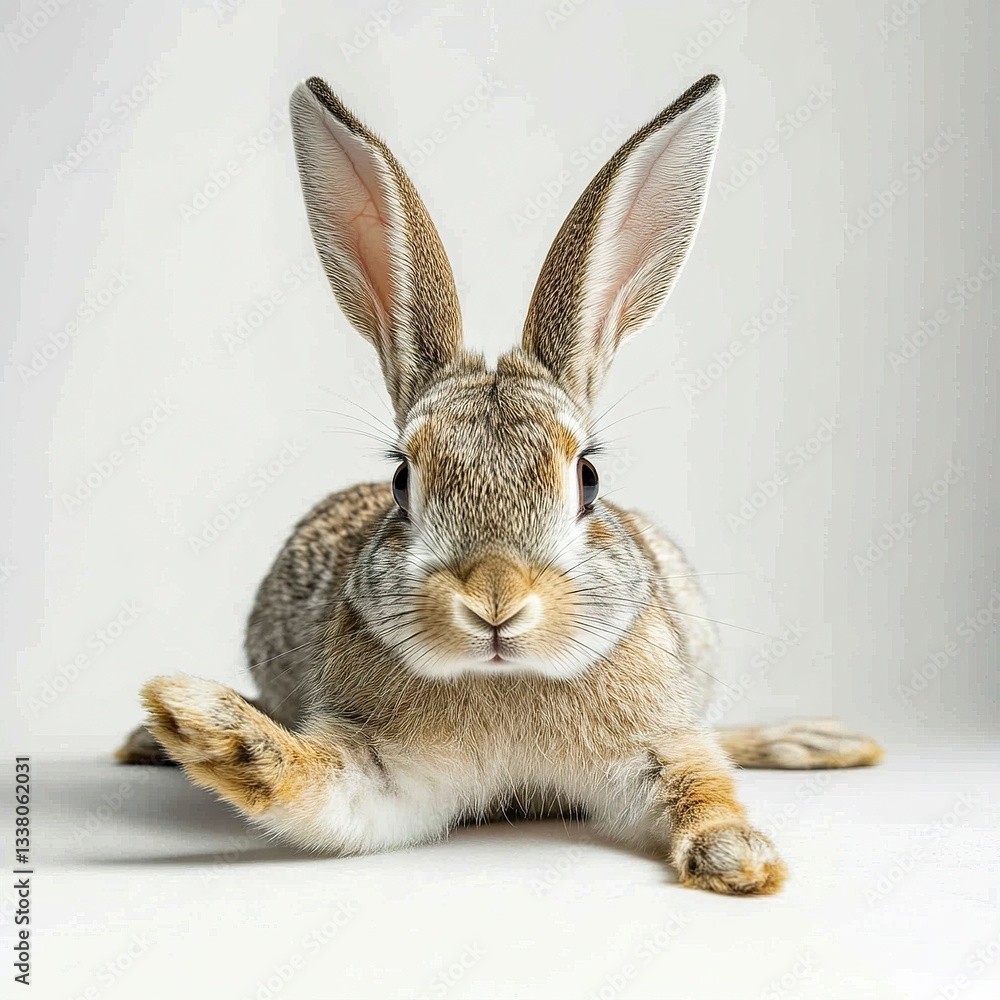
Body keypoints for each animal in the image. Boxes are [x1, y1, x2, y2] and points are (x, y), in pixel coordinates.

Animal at [116, 74, 883, 895]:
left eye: (588, 478)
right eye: (401, 480)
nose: (494, 598)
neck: (507, 681)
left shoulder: (659, 741)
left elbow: (698, 781)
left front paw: (737, 856)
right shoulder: (384, 772)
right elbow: (313, 786)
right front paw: (197, 720)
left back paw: (817, 742)